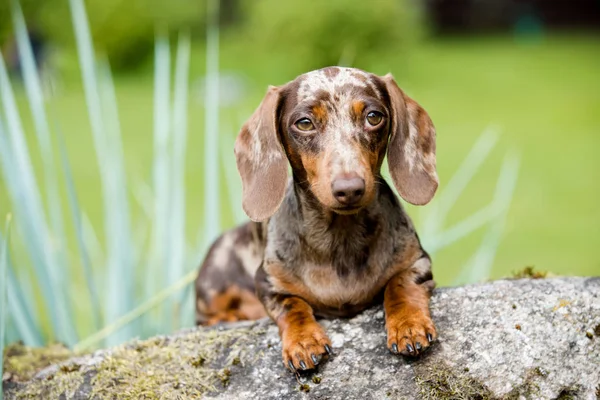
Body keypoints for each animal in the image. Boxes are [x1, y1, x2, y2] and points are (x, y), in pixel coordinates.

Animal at [195, 66, 438, 372]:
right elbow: (293, 306)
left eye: (373, 117)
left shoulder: (417, 261)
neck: (340, 239)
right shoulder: (268, 284)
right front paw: (303, 341)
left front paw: (408, 325)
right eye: (304, 123)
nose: (350, 188)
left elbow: (400, 285)